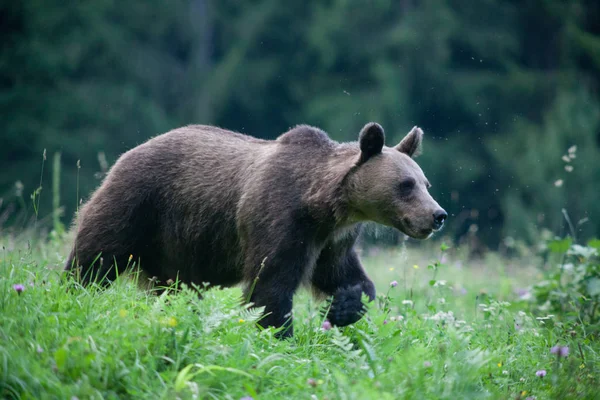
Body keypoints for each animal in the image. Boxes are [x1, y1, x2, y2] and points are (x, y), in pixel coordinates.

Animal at [64, 122, 446, 338]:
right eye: (405, 184)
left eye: (425, 183)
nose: (437, 215)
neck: (324, 205)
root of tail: (130, 151)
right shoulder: (280, 218)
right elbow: (270, 286)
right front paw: (280, 337)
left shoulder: (333, 239)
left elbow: (343, 275)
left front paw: (343, 306)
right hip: (139, 204)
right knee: (95, 256)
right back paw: (73, 292)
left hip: (173, 250)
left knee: (172, 289)